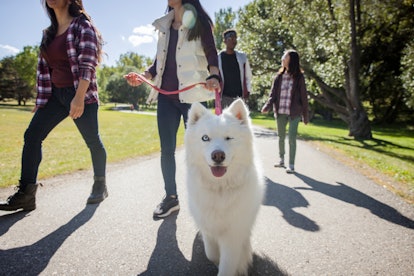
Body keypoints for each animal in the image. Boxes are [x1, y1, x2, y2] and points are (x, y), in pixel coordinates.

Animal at [185, 99, 264, 276]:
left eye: (229, 138)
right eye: (205, 138)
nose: (218, 155)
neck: (220, 188)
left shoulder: (233, 235)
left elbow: (227, 264)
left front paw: (239, 264)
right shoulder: (208, 228)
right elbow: (210, 253)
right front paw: (216, 260)